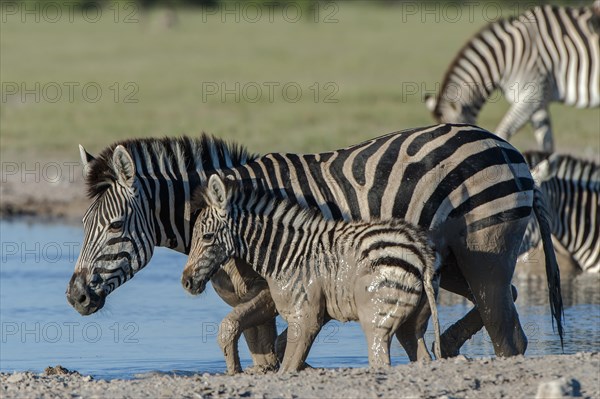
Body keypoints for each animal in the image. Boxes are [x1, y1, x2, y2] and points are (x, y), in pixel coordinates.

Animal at [180, 173, 442, 374]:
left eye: (207, 237)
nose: (186, 282)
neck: (286, 254)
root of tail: (419, 252)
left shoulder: (305, 317)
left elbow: (287, 367)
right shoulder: (308, 312)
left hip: (376, 320)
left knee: (380, 358)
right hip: (412, 321)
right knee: (420, 354)